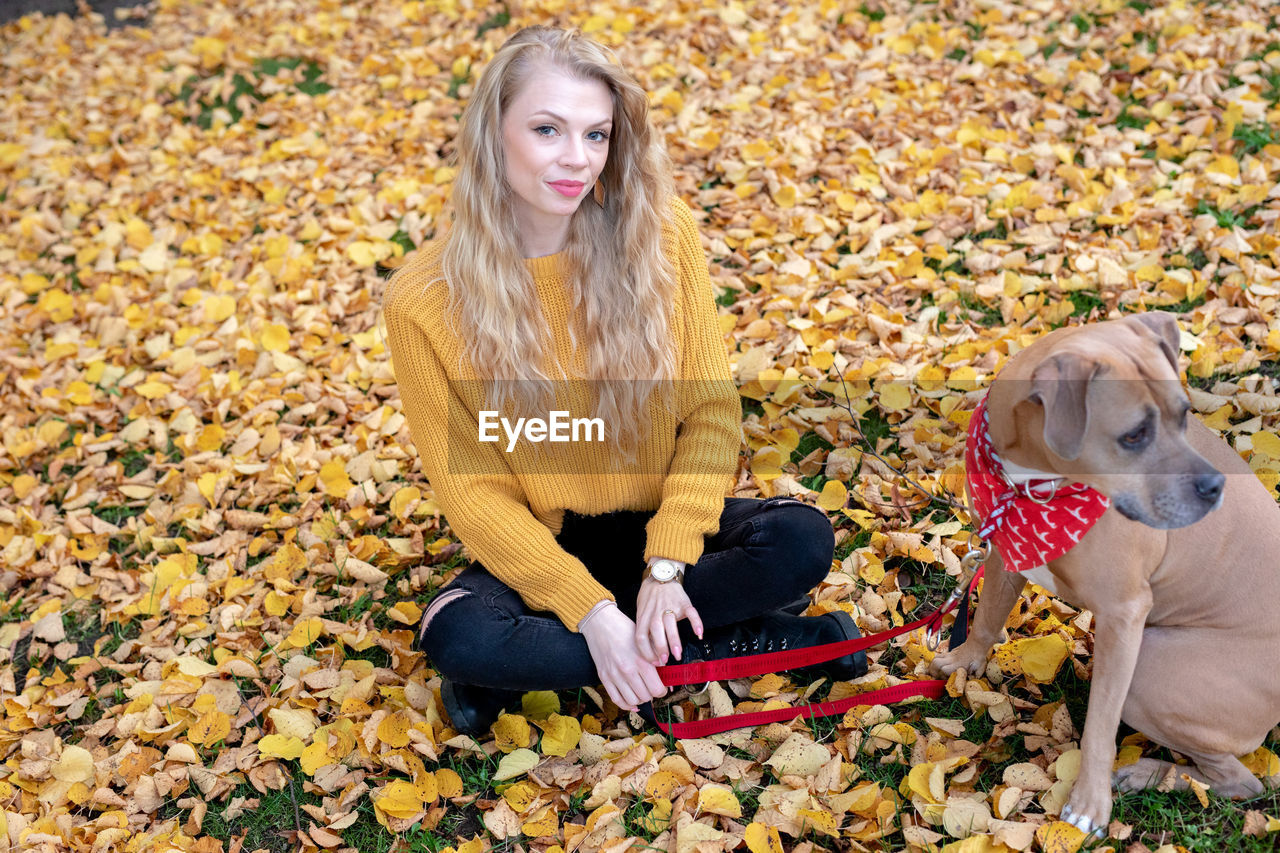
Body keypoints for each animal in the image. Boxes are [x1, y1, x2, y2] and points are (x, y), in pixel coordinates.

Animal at [931, 311, 1280, 829]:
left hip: (1152, 674)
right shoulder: (1003, 550)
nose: (1215, 487)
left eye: (1184, 414)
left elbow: (1099, 723)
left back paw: (1146, 773)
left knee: (1244, 783)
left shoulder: (1124, 614)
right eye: (1134, 435)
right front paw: (964, 661)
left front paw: (1090, 803)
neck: (1032, 485)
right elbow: (989, 613)